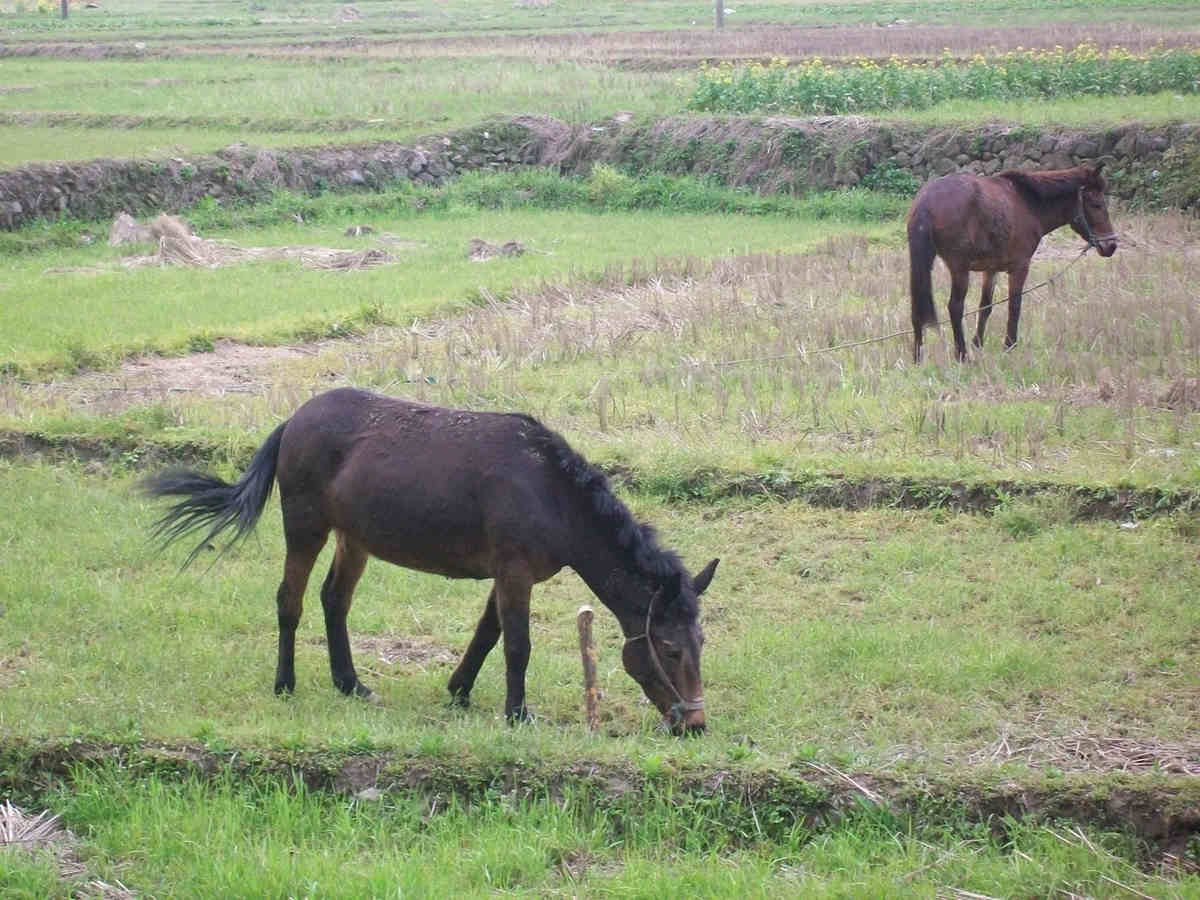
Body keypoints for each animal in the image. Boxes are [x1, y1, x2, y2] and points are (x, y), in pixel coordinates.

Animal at [144, 388, 715, 734]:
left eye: (700, 643)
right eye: (669, 649)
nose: (695, 725)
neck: (551, 494)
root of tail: (293, 420)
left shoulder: (507, 574)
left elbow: (487, 635)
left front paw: (459, 690)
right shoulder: (514, 571)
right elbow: (517, 645)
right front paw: (517, 713)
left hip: (354, 538)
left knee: (334, 601)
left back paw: (350, 683)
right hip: (305, 527)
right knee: (291, 600)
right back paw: (285, 685)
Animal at [907, 162, 1113, 362]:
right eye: (1096, 204)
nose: (1111, 245)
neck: (1027, 203)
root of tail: (926, 201)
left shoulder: (990, 270)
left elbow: (985, 307)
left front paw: (978, 344)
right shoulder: (1020, 267)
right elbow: (1014, 305)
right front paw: (1009, 345)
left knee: (917, 309)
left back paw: (918, 357)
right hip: (960, 270)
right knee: (955, 307)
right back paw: (961, 355)